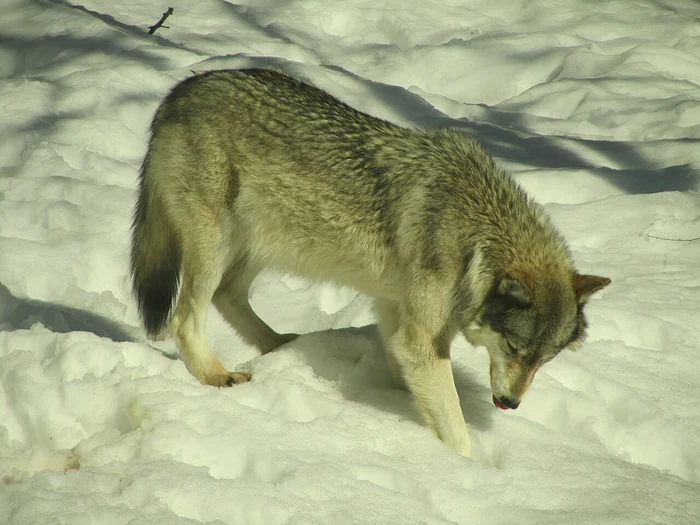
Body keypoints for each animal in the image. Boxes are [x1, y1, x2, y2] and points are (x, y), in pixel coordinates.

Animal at [130, 69, 610, 457]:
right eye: (514, 348)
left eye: (543, 361)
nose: (511, 403)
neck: (475, 233)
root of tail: (179, 90)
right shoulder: (421, 339)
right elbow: (456, 428)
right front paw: (466, 468)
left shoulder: (395, 313)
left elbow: (410, 381)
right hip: (218, 243)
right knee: (185, 318)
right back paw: (217, 375)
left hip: (264, 242)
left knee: (229, 297)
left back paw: (283, 346)